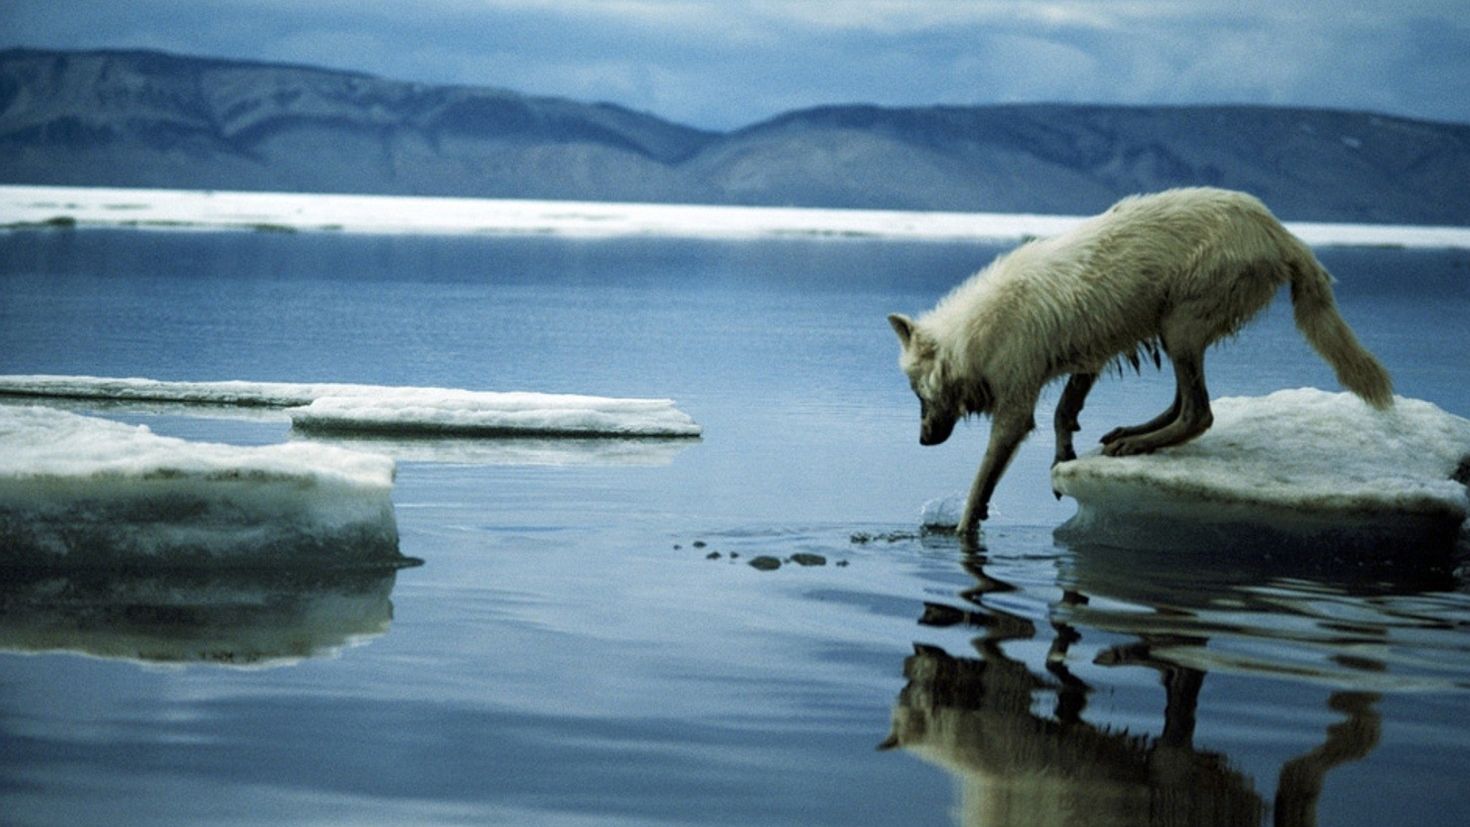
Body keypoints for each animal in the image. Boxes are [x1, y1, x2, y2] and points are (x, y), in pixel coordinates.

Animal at [887, 188, 1393, 537]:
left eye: (916, 392)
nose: (922, 440)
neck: (975, 334)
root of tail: (1280, 230)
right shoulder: (1087, 358)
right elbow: (1064, 412)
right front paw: (1063, 458)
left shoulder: (1015, 406)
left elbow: (982, 482)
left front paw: (964, 529)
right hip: (1172, 331)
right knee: (1184, 402)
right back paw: (1132, 434)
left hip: (1179, 325)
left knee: (1199, 413)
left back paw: (1136, 443)